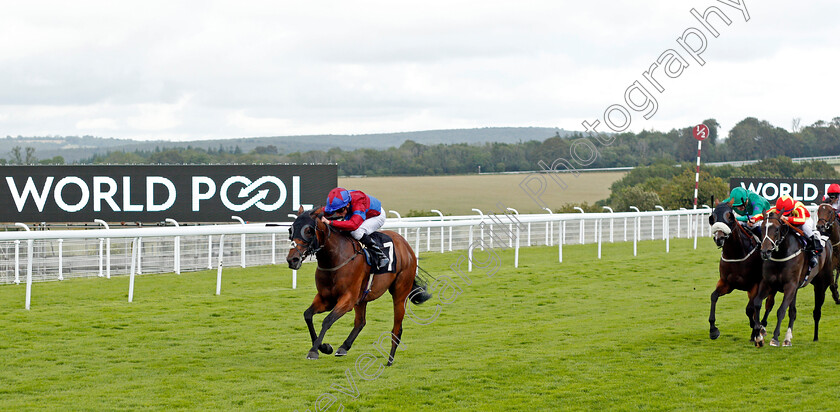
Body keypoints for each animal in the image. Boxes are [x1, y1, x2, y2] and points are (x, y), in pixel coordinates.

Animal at [288, 208, 434, 366]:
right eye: (291, 229)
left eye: (308, 231)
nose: (292, 259)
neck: (335, 258)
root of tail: (406, 246)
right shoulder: (326, 298)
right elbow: (307, 315)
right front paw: (324, 347)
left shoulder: (348, 299)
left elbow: (327, 320)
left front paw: (314, 351)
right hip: (362, 297)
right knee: (360, 322)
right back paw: (344, 347)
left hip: (400, 293)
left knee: (397, 328)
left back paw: (389, 360)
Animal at [708, 203, 776, 342]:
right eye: (713, 217)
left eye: (730, 217)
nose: (719, 238)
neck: (736, 254)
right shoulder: (727, 283)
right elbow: (713, 296)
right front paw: (713, 330)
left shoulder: (755, 284)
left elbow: (749, 309)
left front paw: (755, 330)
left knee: (769, 304)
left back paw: (762, 326)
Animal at [752, 212, 832, 348]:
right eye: (762, 228)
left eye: (777, 229)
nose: (765, 252)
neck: (781, 255)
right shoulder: (768, 284)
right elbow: (757, 304)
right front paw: (758, 336)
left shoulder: (790, 285)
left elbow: (781, 310)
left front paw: (774, 338)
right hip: (796, 289)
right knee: (793, 312)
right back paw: (787, 338)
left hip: (820, 285)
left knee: (816, 312)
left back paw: (815, 337)